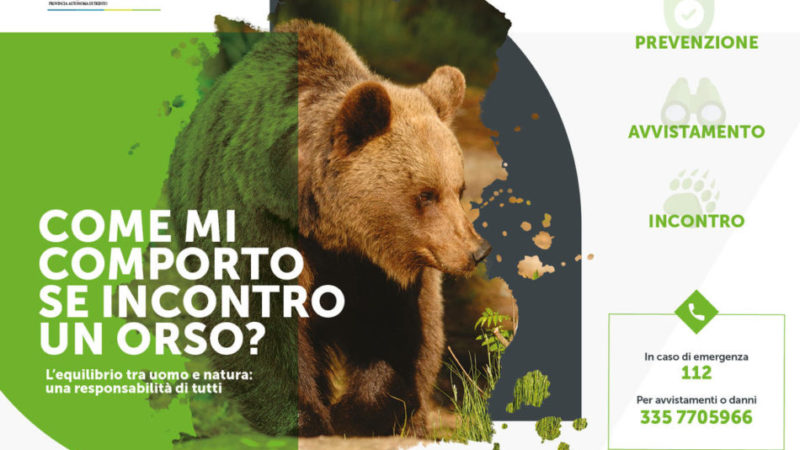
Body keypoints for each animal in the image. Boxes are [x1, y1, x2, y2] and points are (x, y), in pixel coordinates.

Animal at [167, 19, 491, 437]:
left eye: (459, 188)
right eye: (426, 194)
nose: (476, 251)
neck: (328, 226)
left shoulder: (376, 263)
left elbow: (393, 330)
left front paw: (365, 413)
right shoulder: (259, 221)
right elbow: (260, 319)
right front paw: (303, 418)